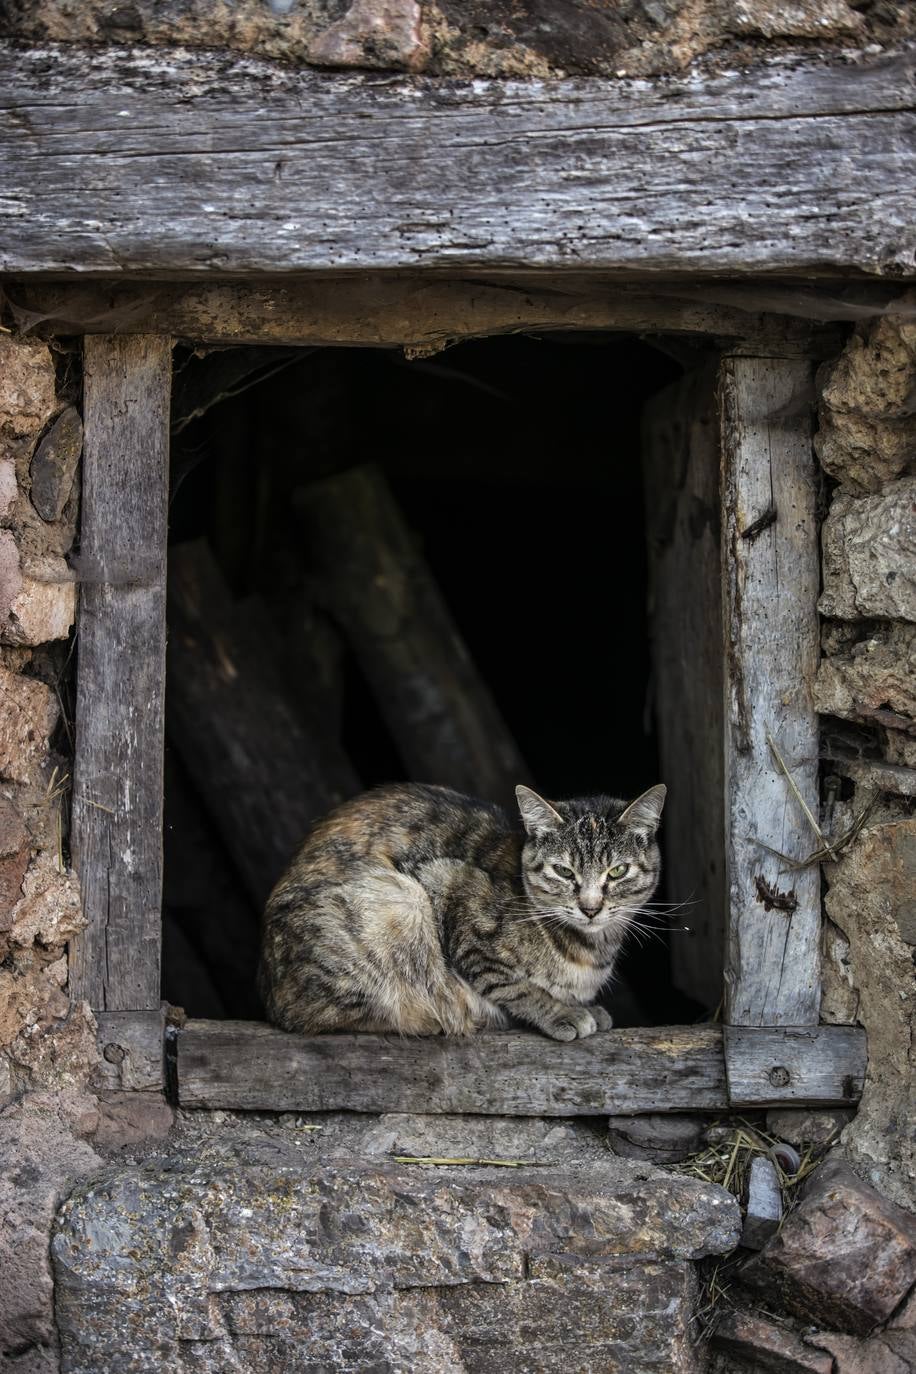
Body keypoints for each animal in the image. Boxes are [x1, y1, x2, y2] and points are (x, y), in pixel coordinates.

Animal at [258, 780, 667, 1033]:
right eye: (563, 871)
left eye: (618, 871)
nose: (590, 907)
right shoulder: (449, 885)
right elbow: (513, 986)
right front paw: (561, 1012)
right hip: (399, 902)